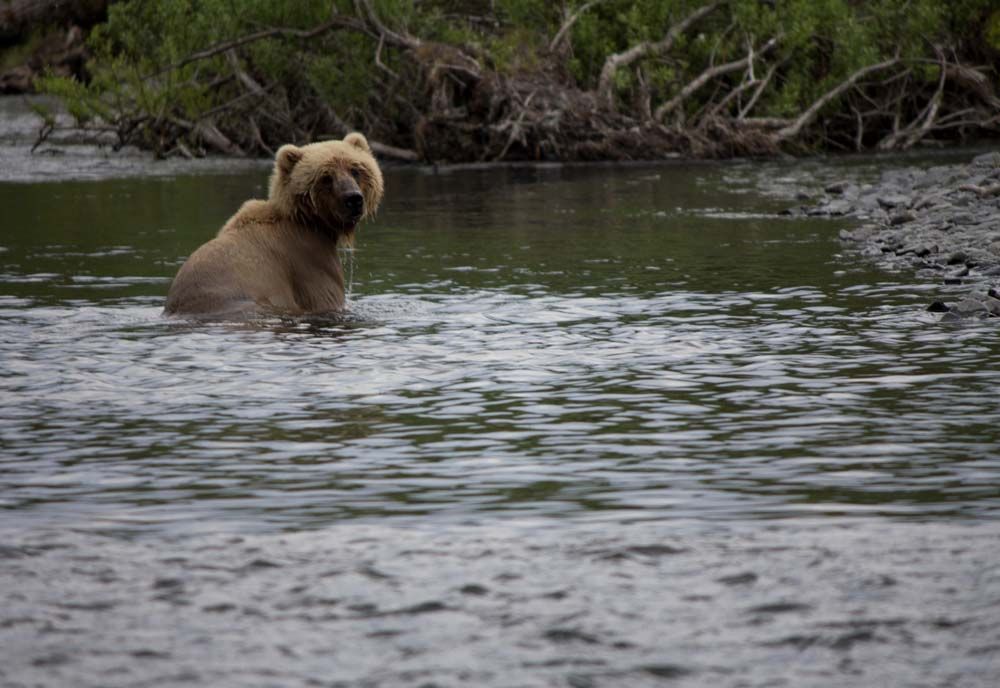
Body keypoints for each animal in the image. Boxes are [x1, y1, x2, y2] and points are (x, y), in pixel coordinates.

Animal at [163, 132, 383, 317]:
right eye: (326, 177)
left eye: (355, 170)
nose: (353, 199)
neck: (309, 222)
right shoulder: (309, 263)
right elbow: (326, 297)